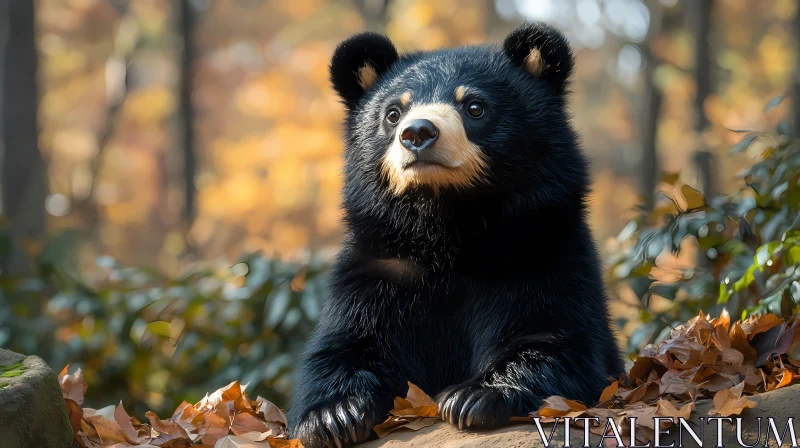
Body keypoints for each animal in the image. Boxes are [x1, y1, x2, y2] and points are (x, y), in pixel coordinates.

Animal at [288, 22, 624, 446]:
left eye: (474, 107)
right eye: (393, 113)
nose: (417, 133)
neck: (447, 227)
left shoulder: (542, 247)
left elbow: (552, 336)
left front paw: (473, 397)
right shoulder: (379, 266)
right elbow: (347, 344)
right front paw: (334, 416)